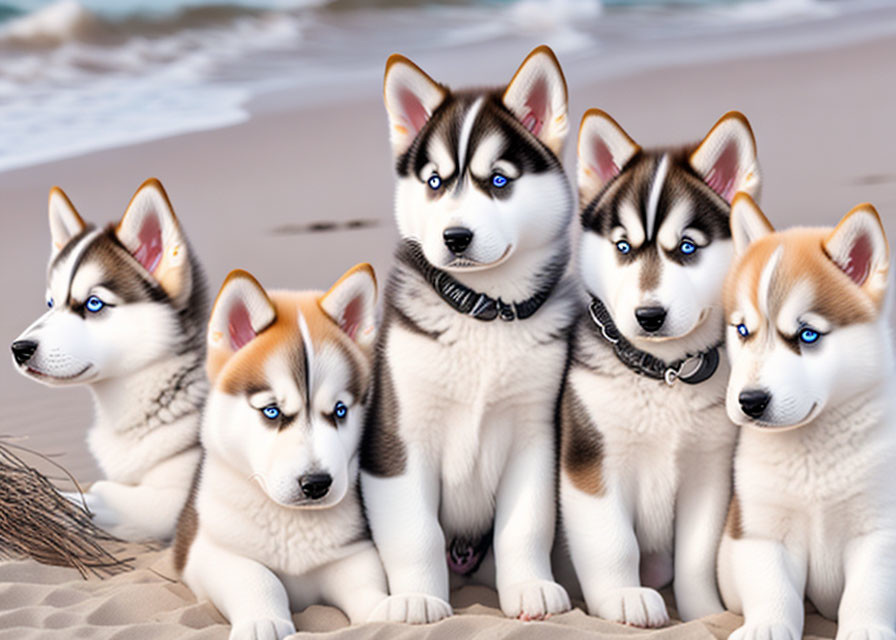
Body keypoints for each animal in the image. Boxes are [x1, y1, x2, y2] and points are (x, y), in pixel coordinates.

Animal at [356, 46, 576, 624]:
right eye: (435, 182)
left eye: (498, 181)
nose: (455, 237)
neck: (483, 312)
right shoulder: (396, 440)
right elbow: (417, 535)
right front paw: (420, 598)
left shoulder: (535, 435)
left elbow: (525, 526)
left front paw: (530, 588)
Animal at [560, 110, 764, 624]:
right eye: (623, 248)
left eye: (688, 248)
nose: (648, 316)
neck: (662, 374)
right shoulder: (591, 463)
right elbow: (614, 543)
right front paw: (621, 597)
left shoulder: (708, 471)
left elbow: (696, 556)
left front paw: (704, 612)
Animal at [716, 194, 896, 640]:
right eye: (742, 330)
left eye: (807, 335)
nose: (750, 401)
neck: (813, 454)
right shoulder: (761, 530)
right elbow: (773, 588)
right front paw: (766, 626)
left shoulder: (879, 530)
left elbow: (869, 590)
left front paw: (865, 629)